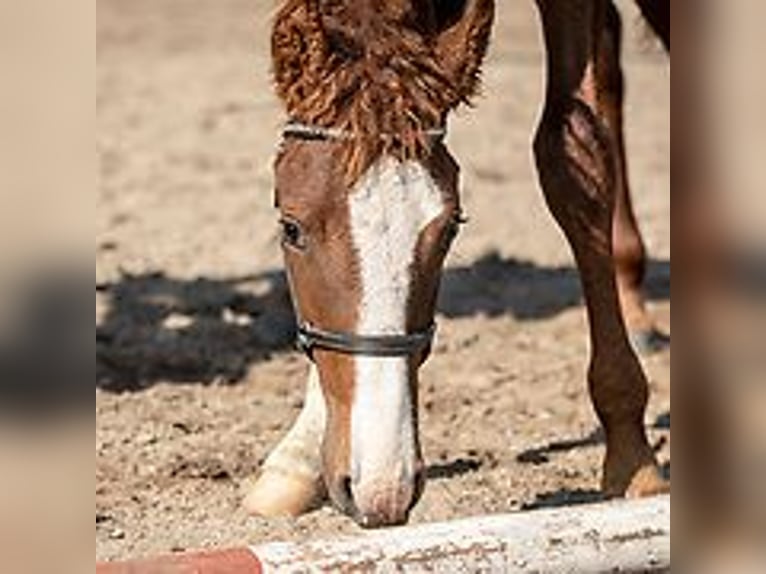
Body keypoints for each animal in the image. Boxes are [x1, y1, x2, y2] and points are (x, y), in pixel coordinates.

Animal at [246, 1, 672, 532]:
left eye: (451, 228)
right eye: (290, 229)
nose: (385, 489)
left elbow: (574, 156)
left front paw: (633, 457)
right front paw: (300, 461)